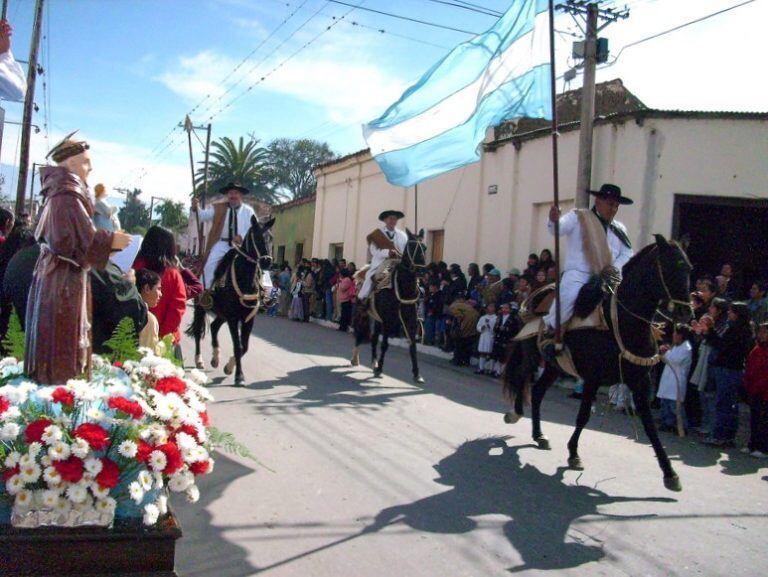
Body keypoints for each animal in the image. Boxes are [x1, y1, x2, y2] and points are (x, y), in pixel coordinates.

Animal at [190, 214, 276, 384]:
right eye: (256, 236)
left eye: (271, 238)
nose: (267, 261)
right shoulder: (233, 318)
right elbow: (237, 346)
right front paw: (239, 376)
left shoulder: (248, 318)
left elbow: (244, 347)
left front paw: (229, 367)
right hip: (201, 308)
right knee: (197, 331)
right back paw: (199, 360)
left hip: (222, 314)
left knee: (214, 326)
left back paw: (215, 358)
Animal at [352, 228, 426, 382]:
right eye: (411, 247)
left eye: (425, 248)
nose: (422, 271)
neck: (403, 289)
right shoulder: (387, 319)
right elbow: (385, 344)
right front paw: (380, 369)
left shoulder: (410, 320)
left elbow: (413, 345)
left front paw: (417, 374)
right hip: (362, 314)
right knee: (360, 333)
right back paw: (355, 359)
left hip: (377, 318)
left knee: (374, 338)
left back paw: (373, 363)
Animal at [500, 234, 692, 490]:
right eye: (672, 267)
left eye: (688, 268)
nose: (686, 313)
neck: (621, 322)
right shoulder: (593, 378)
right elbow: (583, 416)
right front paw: (573, 453)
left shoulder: (640, 382)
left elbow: (650, 426)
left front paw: (669, 473)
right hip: (532, 353)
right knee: (523, 376)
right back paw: (516, 413)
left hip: (554, 365)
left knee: (538, 390)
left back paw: (539, 435)